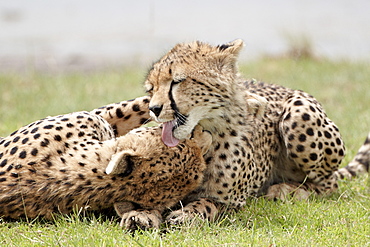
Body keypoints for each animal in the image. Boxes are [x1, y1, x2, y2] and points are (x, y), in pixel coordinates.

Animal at [143, 39, 366, 225]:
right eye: (151, 89)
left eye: (177, 81)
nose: (153, 109)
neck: (201, 138)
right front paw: (142, 216)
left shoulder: (232, 202)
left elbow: (206, 203)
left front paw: (187, 214)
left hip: (298, 113)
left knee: (329, 183)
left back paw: (287, 190)